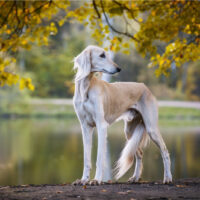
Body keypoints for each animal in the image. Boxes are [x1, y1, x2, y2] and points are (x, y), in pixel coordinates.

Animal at [72, 45, 173, 186]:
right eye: (102, 55)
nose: (118, 68)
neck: (86, 88)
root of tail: (145, 87)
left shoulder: (101, 126)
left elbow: (99, 158)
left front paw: (96, 180)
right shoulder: (85, 127)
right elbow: (86, 158)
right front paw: (84, 179)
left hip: (151, 127)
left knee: (164, 151)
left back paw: (168, 178)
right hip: (129, 131)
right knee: (139, 153)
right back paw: (135, 177)